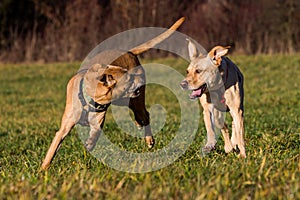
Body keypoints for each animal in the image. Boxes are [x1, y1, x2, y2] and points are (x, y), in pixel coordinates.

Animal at [41, 17, 184, 170]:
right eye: (129, 78)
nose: (141, 78)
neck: (89, 99)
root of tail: (129, 52)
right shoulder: (65, 127)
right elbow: (54, 147)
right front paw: (43, 168)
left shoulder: (98, 123)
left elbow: (96, 133)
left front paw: (89, 144)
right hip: (125, 100)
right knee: (141, 115)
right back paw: (139, 124)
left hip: (134, 100)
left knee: (145, 115)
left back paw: (149, 138)